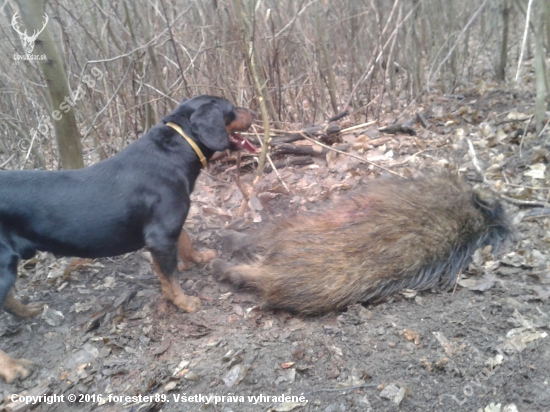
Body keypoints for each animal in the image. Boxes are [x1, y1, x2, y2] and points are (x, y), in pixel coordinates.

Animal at [0, 95, 254, 382]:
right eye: (232, 108)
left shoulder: (169, 226)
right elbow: (171, 277)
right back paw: (13, 367)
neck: (176, 149)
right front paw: (184, 302)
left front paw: (200, 258)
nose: (254, 112)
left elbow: (186, 242)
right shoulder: (161, 236)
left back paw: (27, 311)